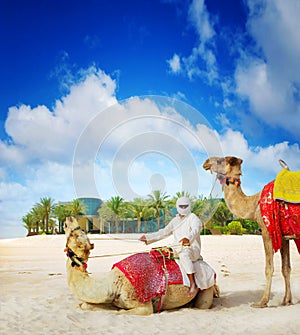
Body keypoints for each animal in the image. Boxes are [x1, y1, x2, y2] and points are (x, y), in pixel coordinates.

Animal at [63, 217, 218, 316]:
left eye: (78, 234)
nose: (69, 218)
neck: (114, 283)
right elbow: (85, 305)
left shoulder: (143, 305)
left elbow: (120, 312)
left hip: (206, 287)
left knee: (203, 304)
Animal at [203, 158, 298, 310]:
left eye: (220, 160)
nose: (205, 162)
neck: (254, 204)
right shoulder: (284, 236)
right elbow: (286, 268)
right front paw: (286, 301)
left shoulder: (267, 231)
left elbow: (269, 268)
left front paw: (262, 302)